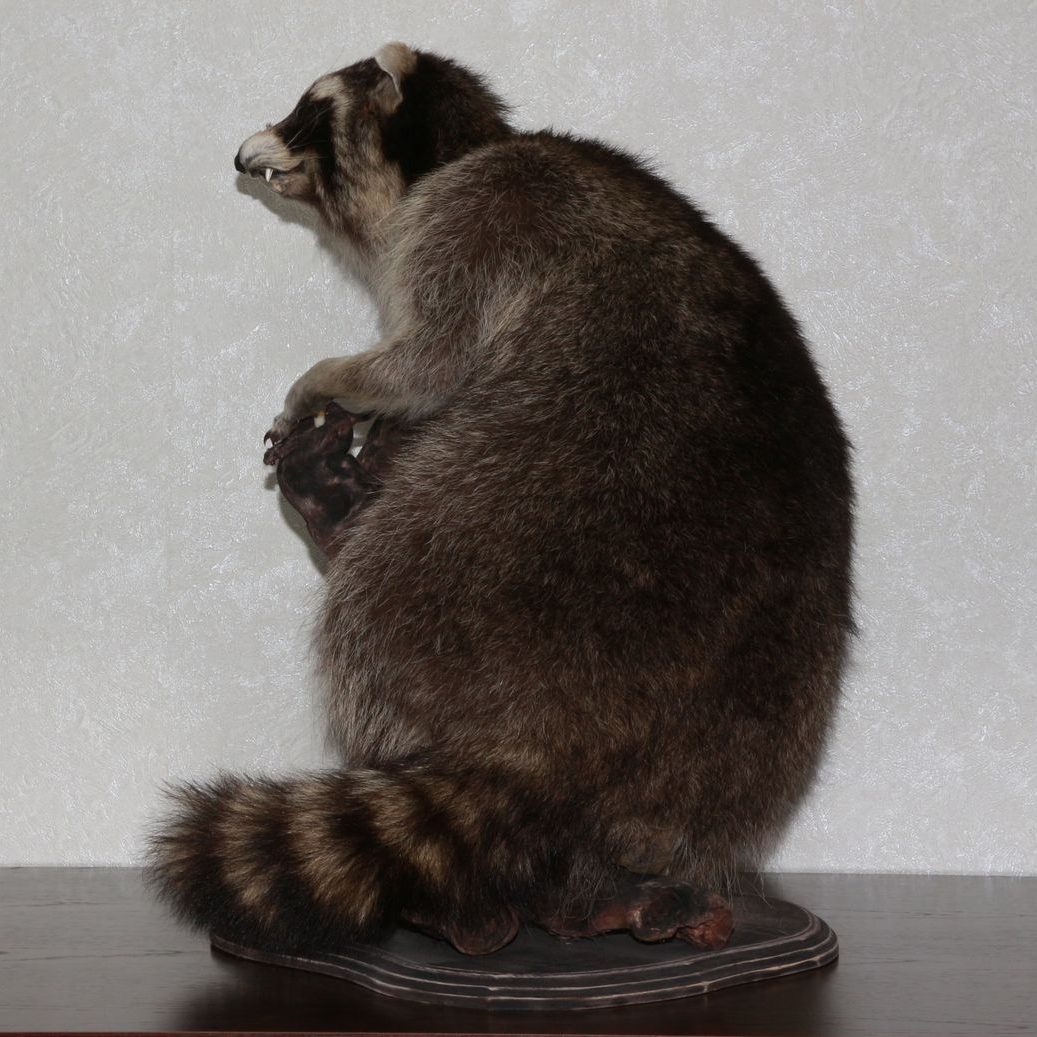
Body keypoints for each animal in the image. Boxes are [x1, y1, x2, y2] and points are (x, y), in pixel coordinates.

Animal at [150, 43, 854, 953]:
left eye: (307, 113)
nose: (241, 157)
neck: (459, 149)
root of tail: (561, 752)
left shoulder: (474, 217)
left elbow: (427, 360)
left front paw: (330, 377)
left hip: (486, 525)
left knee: (371, 591)